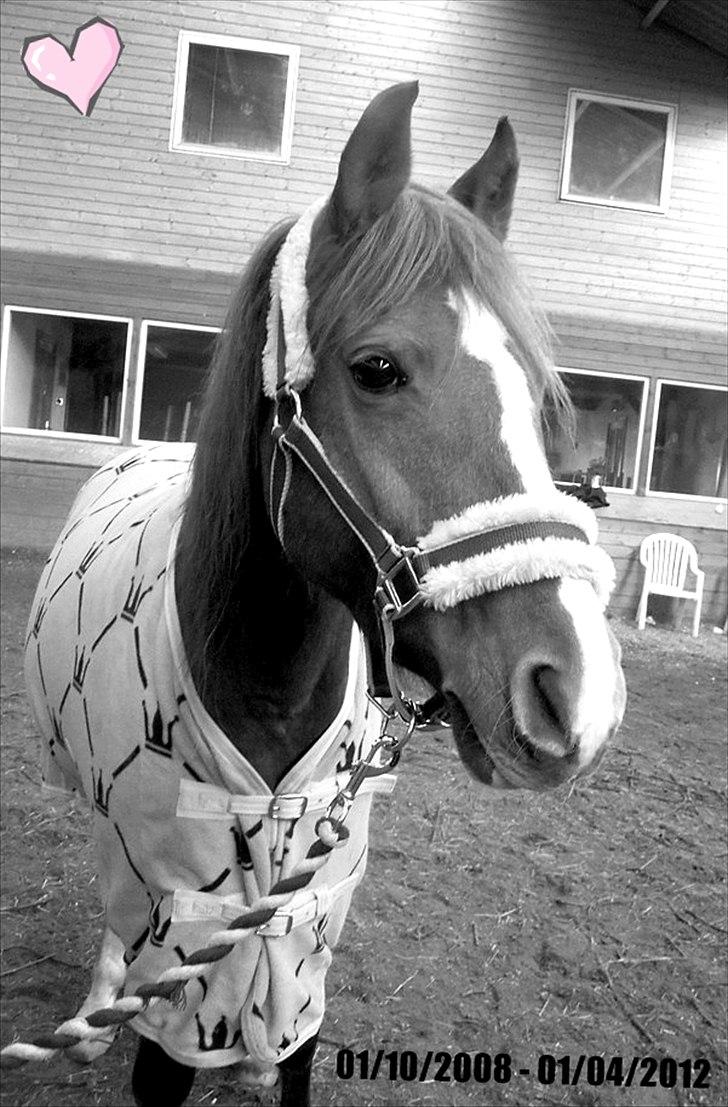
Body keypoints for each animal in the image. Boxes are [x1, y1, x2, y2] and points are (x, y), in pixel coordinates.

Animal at [1, 80, 624, 1107]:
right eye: (377, 369)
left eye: (542, 394)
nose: (579, 697)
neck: (260, 681)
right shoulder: (178, 936)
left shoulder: (305, 929)